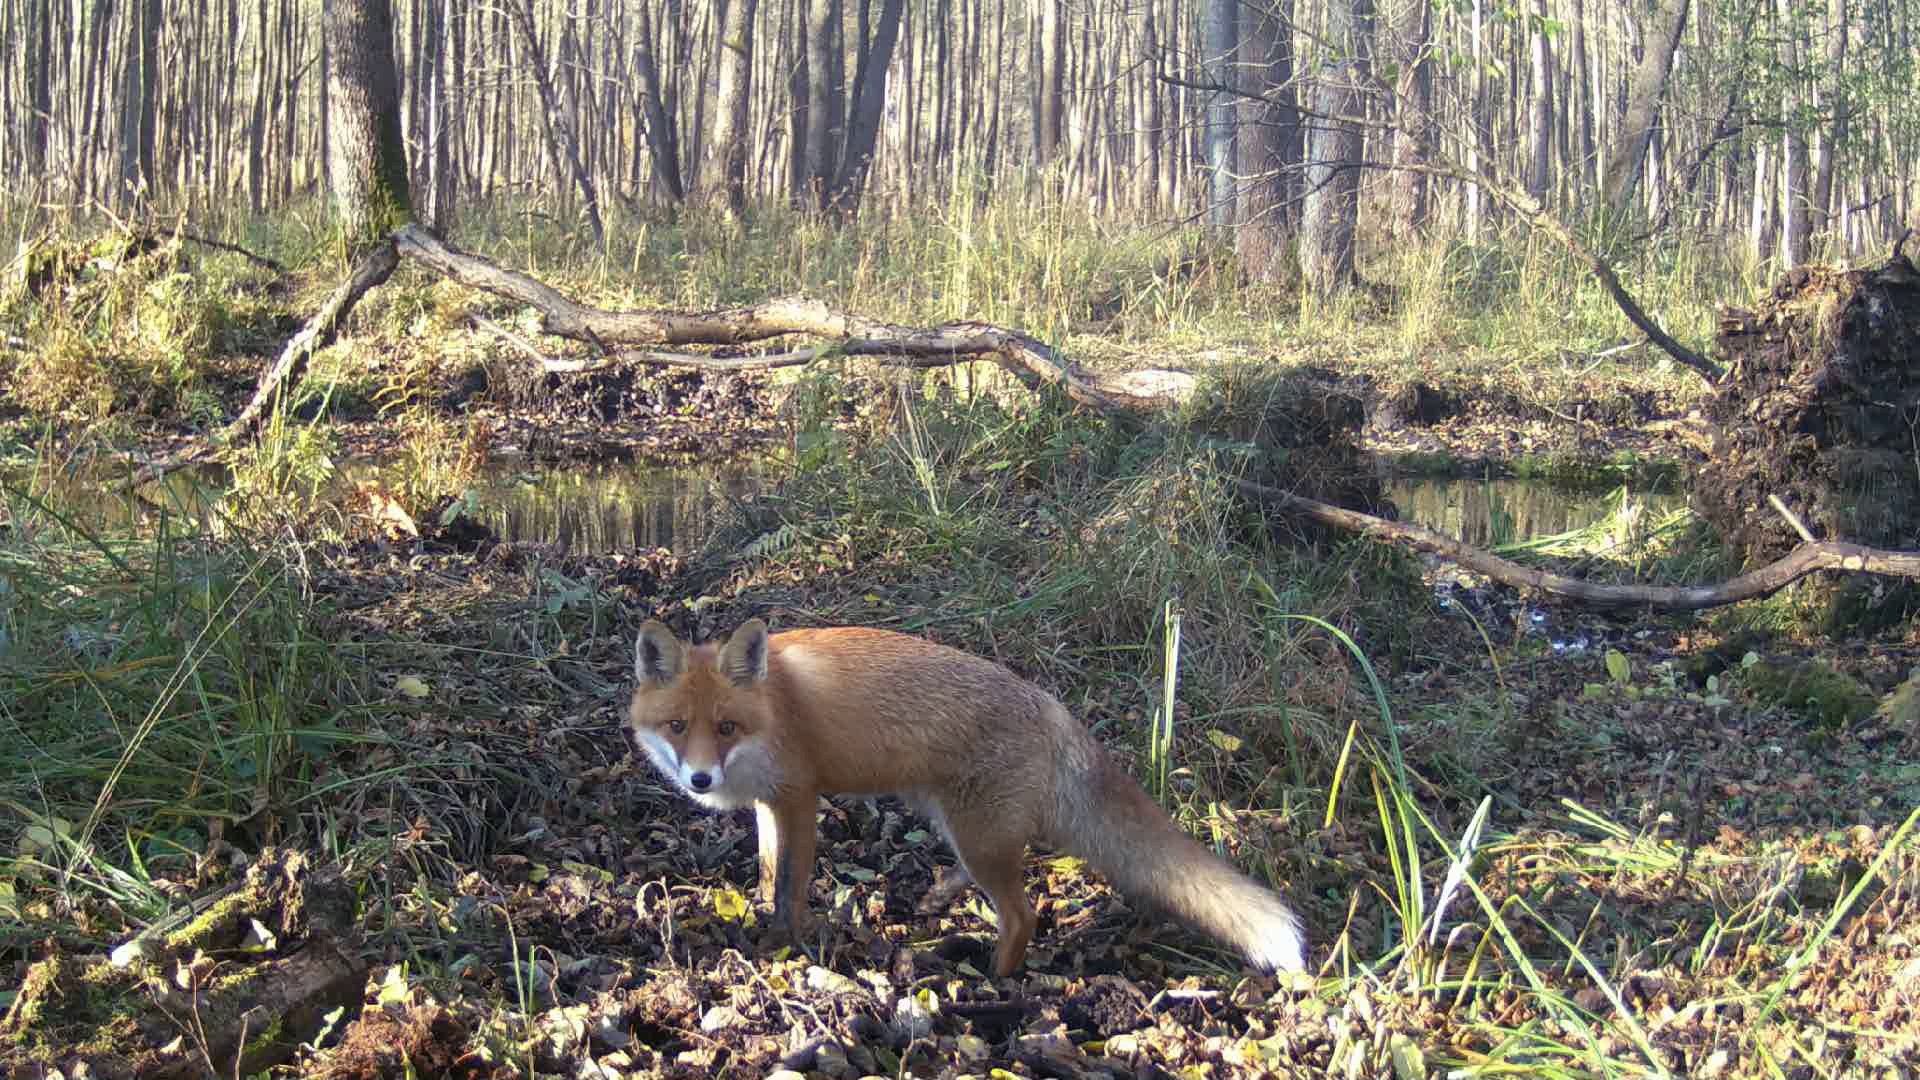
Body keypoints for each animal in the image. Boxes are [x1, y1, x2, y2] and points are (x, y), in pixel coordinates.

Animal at [625, 614, 1305, 976]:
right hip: (958, 821)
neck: (774, 708)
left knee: (1022, 915)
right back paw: (940, 900)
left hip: (977, 835)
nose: (700, 781)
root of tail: (1053, 707)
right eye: (678, 726)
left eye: (726, 728)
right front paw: (756, 913)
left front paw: (784, 942)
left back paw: (995, 980)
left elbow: (792, 884)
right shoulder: (770, 805)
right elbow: (769, 870)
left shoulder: (799, 797)